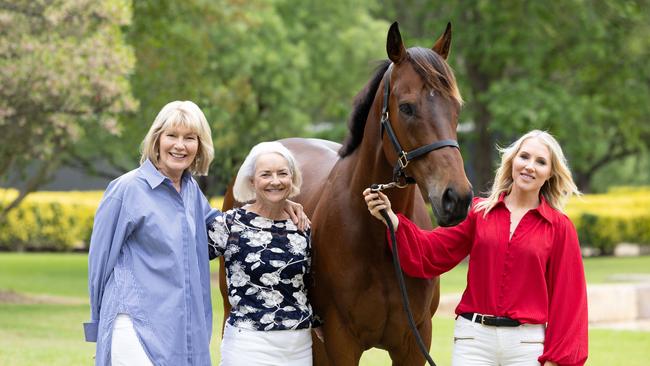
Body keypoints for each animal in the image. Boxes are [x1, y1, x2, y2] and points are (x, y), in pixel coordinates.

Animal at [219, 22, 470, 364]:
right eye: (406, 107)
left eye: (456, 107)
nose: (456, 198)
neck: (380, 242)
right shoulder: (341, 341)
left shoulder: (414, 341)